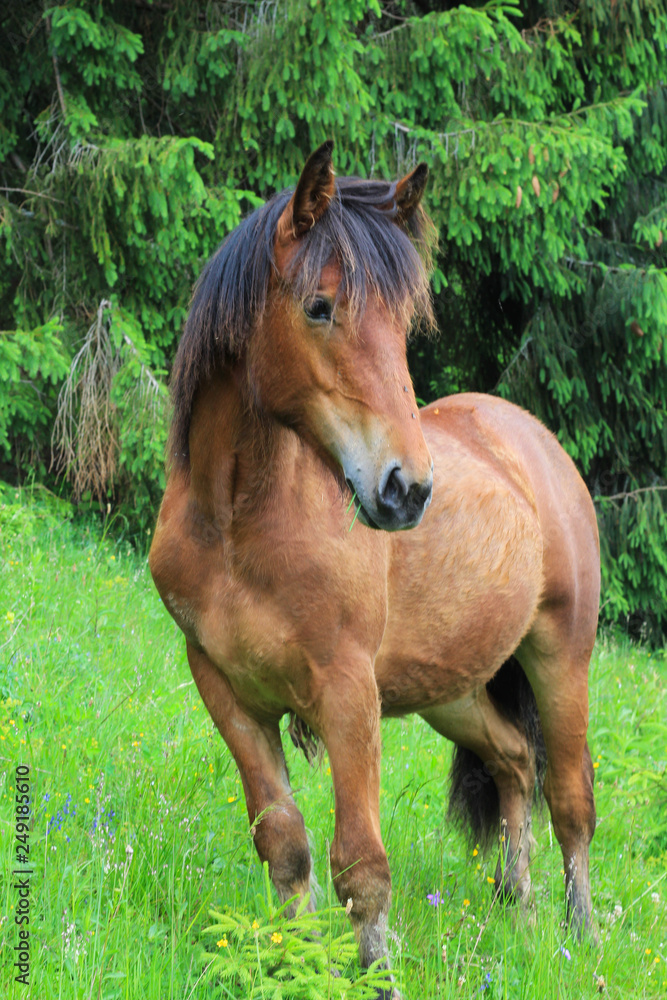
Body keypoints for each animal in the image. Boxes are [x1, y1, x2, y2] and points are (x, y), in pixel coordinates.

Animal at [149, 141, 600, 997]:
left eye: (403, 322)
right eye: (320, 307)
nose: (406, 489)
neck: (237, 525)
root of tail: (532, 441)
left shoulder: (346, 692)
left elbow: (360, 866)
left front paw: (377, 976)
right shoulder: (224, 690)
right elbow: (285, 846)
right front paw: (290, 964)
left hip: (561, 659)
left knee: (569, 800)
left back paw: (578, 937)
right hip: (452, 691)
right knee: (514, 763)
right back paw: (520, 908)